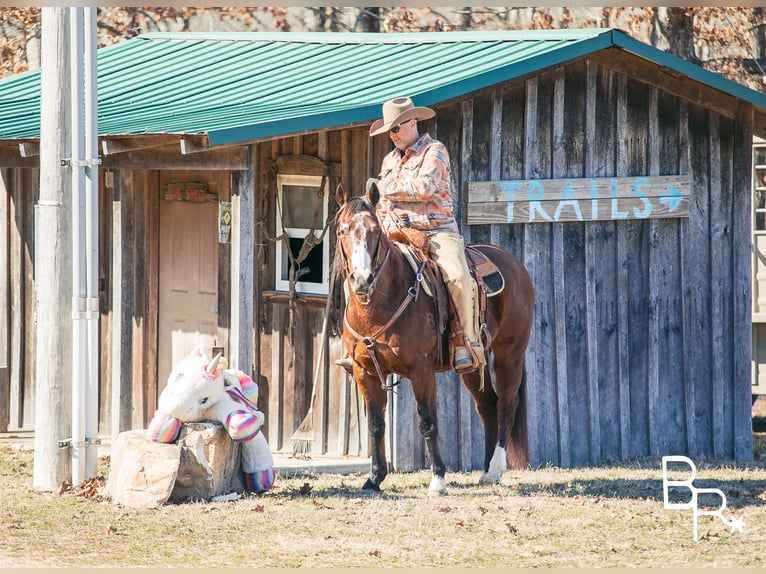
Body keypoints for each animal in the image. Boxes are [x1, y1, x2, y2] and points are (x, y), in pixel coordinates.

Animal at [336, 182, 536, 498]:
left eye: (375, 231)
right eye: (342, 230)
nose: (362, 279)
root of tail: (513, 263)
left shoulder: (421, 371)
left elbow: (427, 422)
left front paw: (438, 479)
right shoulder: (364, 371)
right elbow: (376, 424)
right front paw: (374, 479)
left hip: (510, 354)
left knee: (506, 404)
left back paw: (494, 469)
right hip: (472, 364)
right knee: (487, 406)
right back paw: (485, 470)